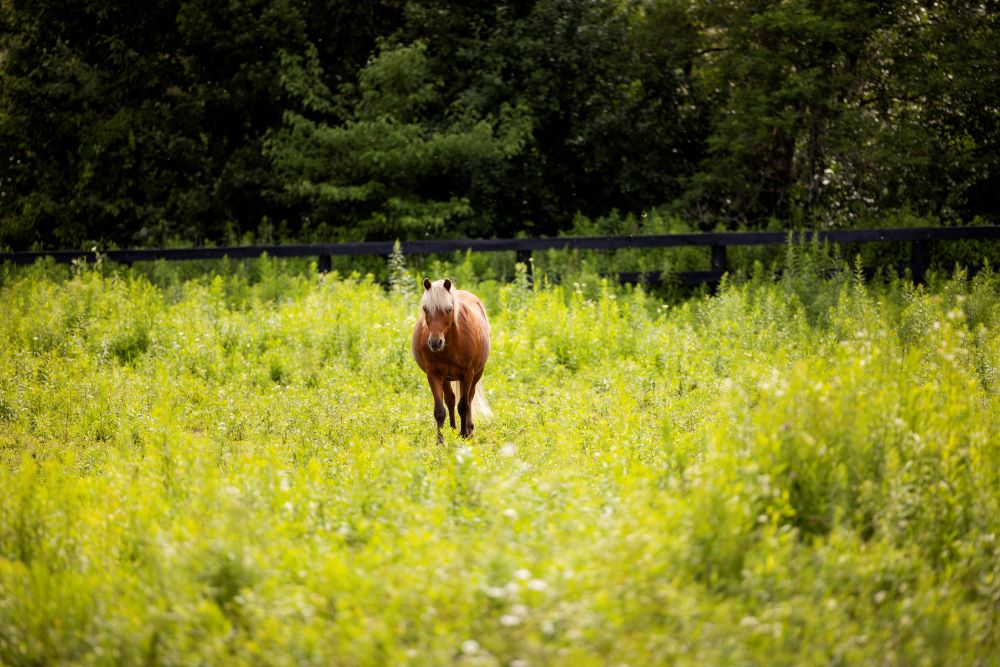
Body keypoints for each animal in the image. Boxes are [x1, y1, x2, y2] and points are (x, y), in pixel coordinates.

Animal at [412, 278, 490, 444]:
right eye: (425, 308)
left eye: (448, 309)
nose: (435, 343)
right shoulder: (433, 375)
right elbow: (440, 410)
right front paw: (440, 442)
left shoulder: (467, 374)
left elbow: (464, 406)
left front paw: (464, 435)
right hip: (446, 379)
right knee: (450, 400)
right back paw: (453, 430)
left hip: (476, 374)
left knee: (469, 400)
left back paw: (469, 430)